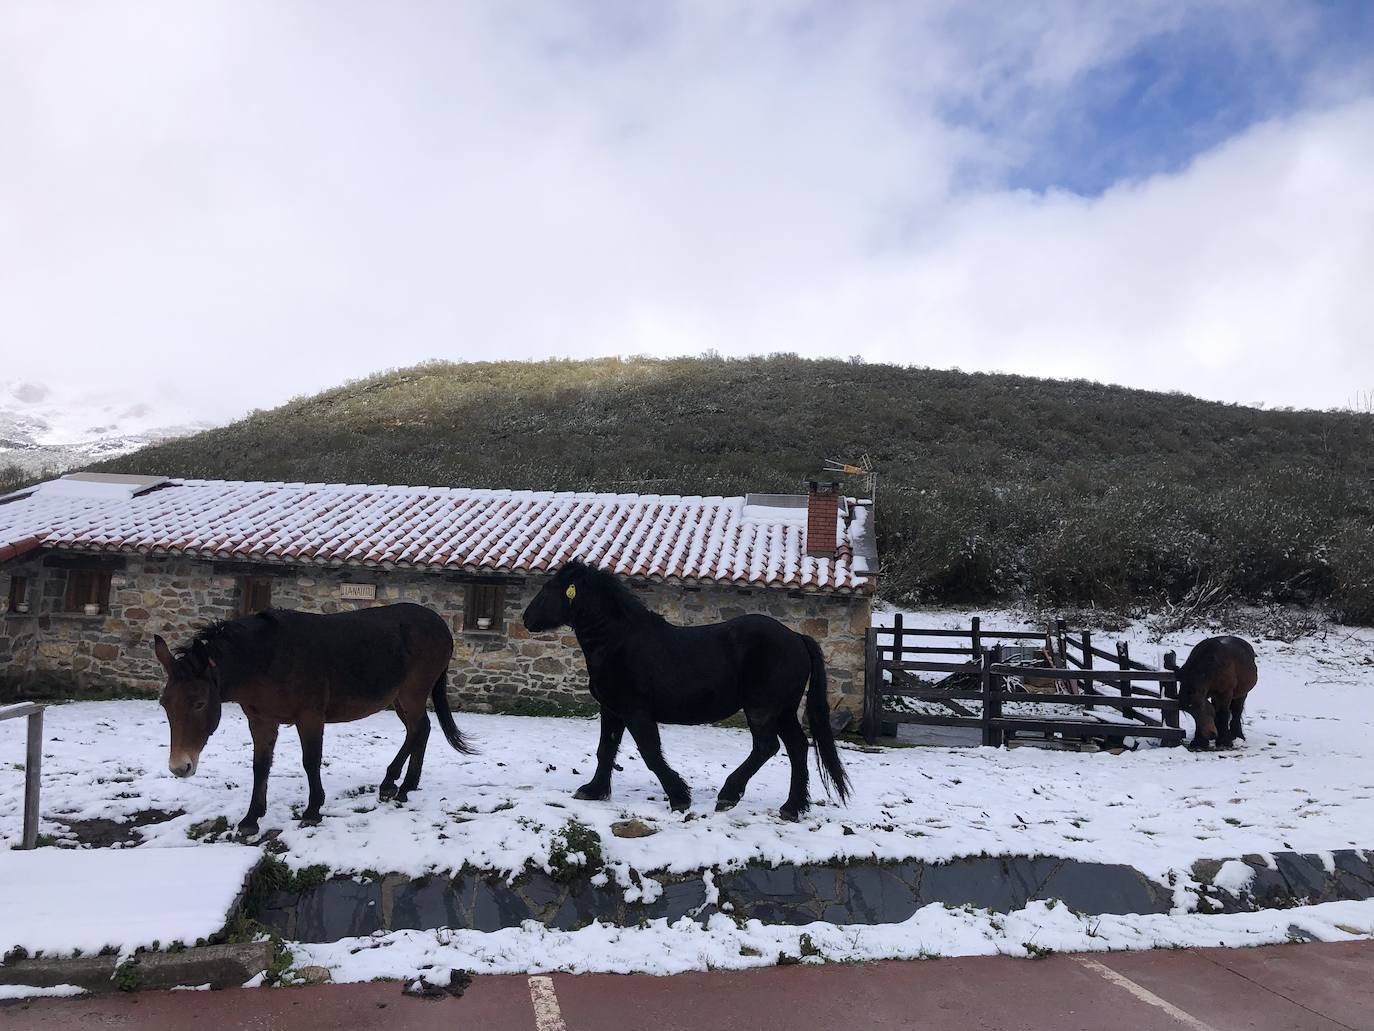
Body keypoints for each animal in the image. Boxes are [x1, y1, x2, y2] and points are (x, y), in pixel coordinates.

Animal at [153, 604, 469, 841]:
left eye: (199, 703)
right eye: (164, 704)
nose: (179, 767)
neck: (267, 658)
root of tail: (440, 624)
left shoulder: (310, 717)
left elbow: (310, 761)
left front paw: (312, 811)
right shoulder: (261, 720)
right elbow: (260, 766)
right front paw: (251, 818)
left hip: (411, 693)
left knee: (418, 730)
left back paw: (397, 786)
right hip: (399, 698)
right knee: (420, 730)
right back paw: (402, 784)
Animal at [522, 560, 846, 819]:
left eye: (549, 587)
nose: (526, 619)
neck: (618, 641)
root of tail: (796, 637)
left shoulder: (636, 712)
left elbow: (651, 753)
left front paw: (679, 797)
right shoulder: (612, 711)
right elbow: (606, 750)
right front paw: (593, 790)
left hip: (763, 708)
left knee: (767, 747)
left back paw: (729, 795)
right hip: (784, 710)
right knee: (797, 747)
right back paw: (791, 807)